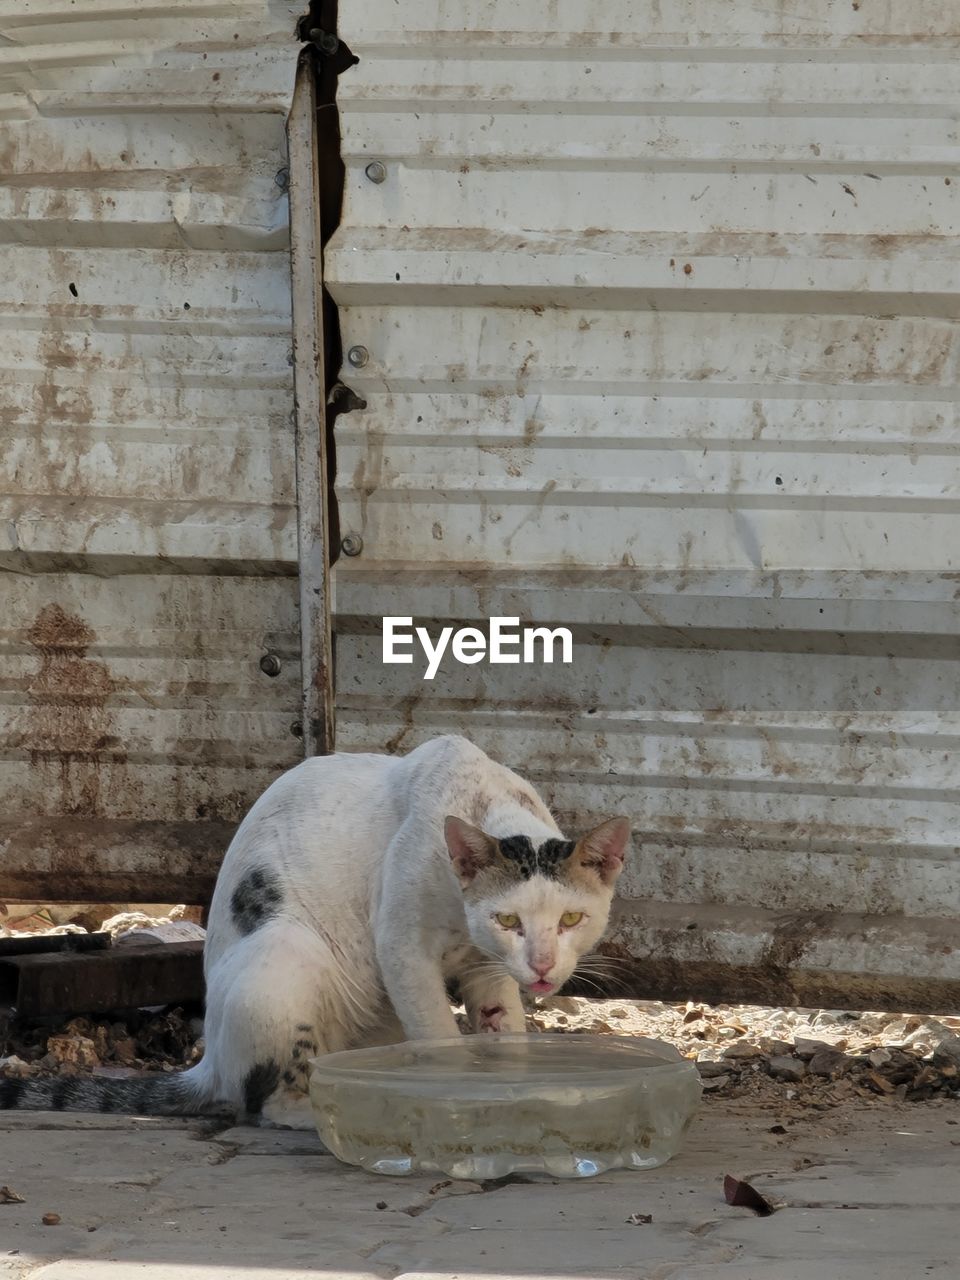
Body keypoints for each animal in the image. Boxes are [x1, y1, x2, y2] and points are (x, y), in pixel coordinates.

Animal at [1, 737, 632, 1126]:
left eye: (571, 920)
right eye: (509, 920)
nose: (543, 965)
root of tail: (208, 1061)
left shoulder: (488, 969)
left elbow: (506, 1035)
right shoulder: (402, 947)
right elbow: (439, 1038)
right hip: (284, 957)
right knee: (262, 1099)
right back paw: (322, 1111)